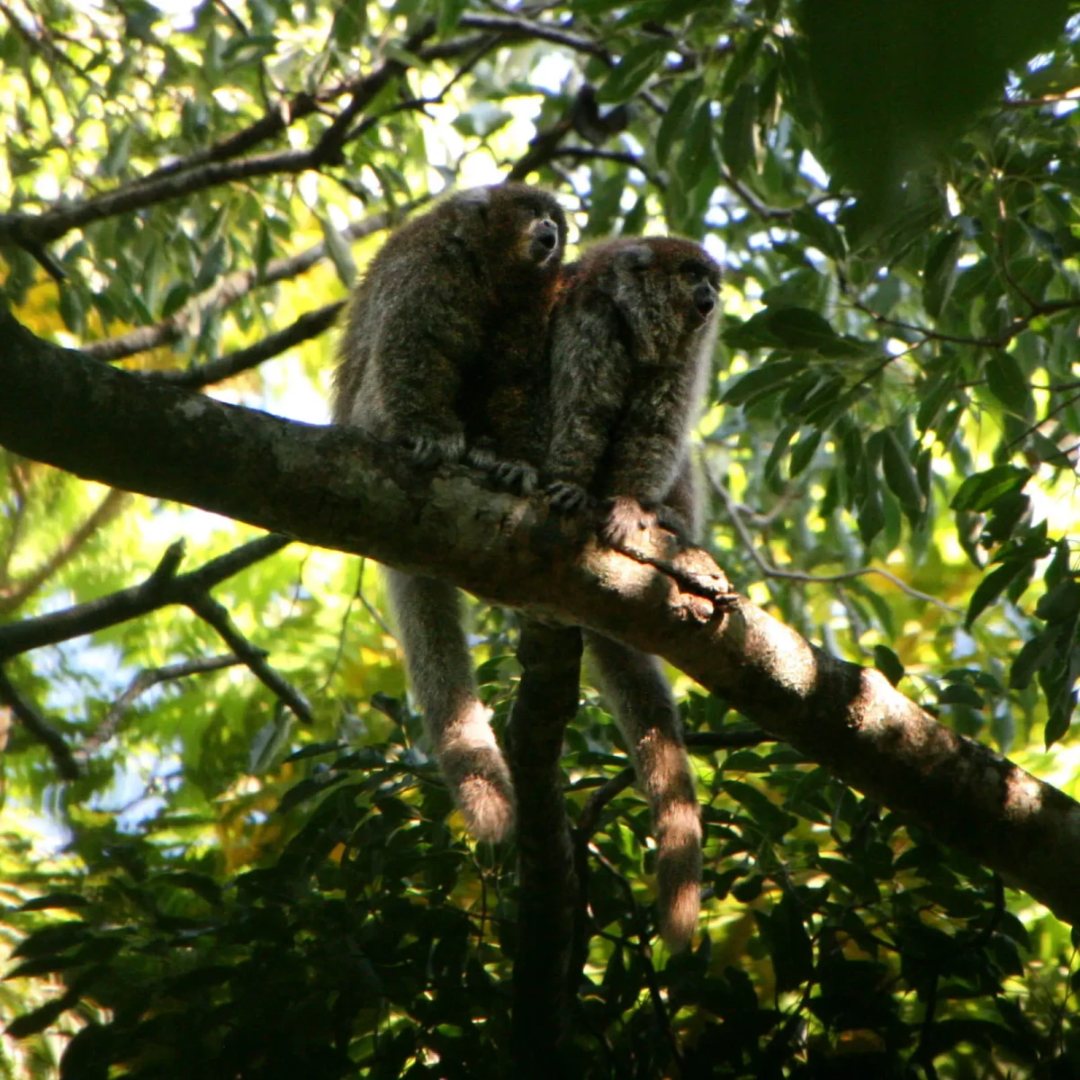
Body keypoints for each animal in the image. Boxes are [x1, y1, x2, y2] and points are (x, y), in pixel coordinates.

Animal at [332, 183, 568, 842]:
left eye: (555, 219)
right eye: (532, 213)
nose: (549, 231)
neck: (492, 273)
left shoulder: (534, 304)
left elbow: (515, 379)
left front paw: (509, 460)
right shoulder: (431, 269)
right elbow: (414, 346)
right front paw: (436, 436)